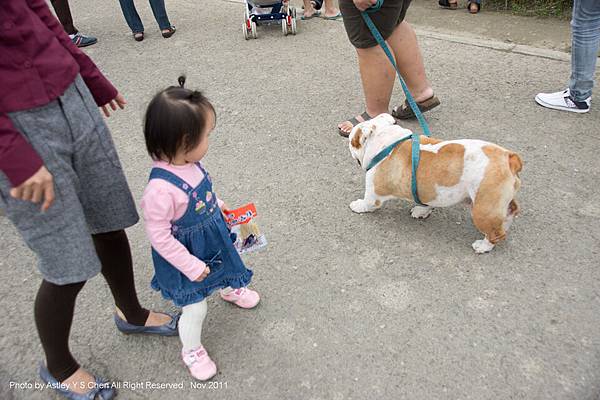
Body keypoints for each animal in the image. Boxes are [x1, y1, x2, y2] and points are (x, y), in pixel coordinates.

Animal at [350, 112, 524, 252]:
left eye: (353, 141)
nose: (347, 137)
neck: (388, 143)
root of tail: (509, 158)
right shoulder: (428, 191)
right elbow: (427, 202)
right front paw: (422, 211)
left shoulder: (374, 192)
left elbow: (368, 202)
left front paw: (358, 206)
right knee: (511, 211)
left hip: (482, 209)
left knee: (497, 234)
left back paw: (483, 246)